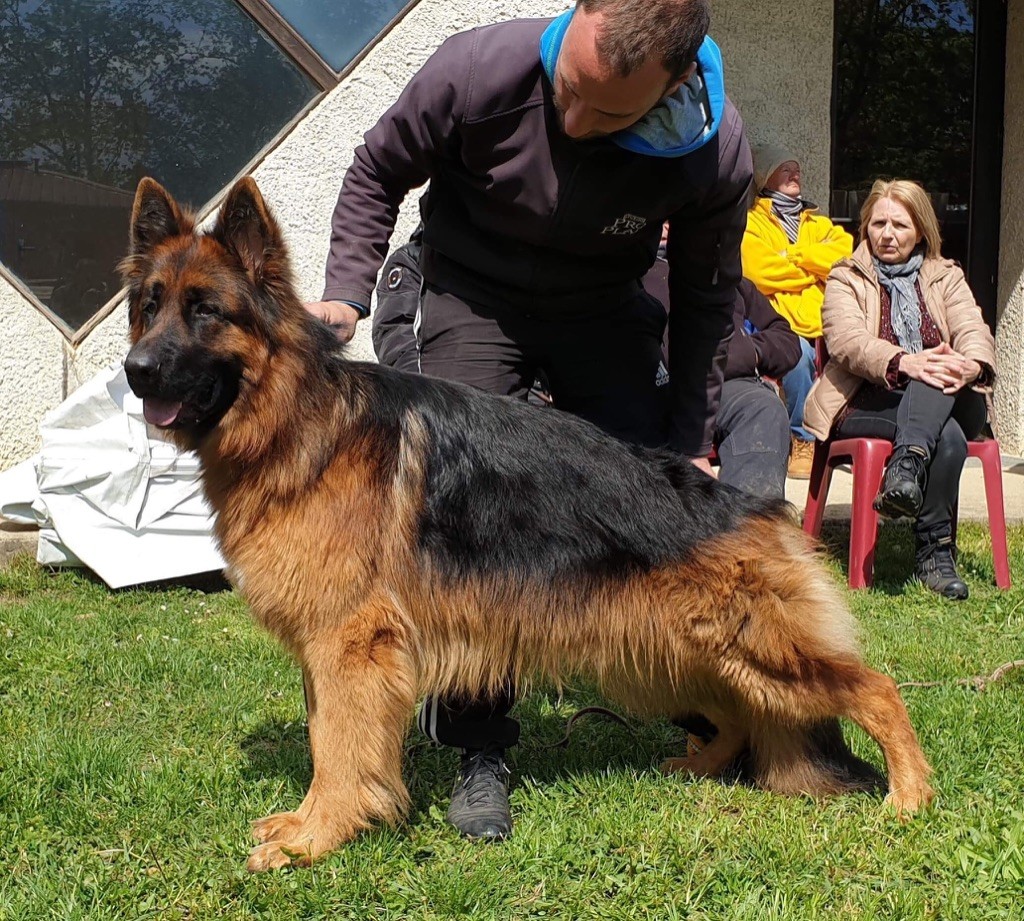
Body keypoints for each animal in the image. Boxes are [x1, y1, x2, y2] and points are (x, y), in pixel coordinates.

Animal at [123, 178, 933, 872]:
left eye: (205, 310)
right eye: (148, 306)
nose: (135, 371)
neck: (296, 421)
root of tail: (751, 507)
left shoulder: (349, 646)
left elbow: (337, 743)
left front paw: (317, 836)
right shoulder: (329, 650)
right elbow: (329, 736)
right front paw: (312, 824)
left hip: (755, 651)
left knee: (877, 688)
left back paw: (911, 795)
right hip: (683, 651)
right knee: (737, 712)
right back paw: (699, 766)